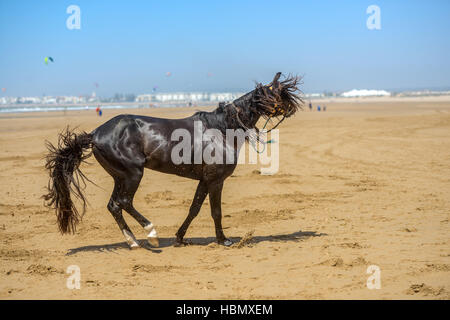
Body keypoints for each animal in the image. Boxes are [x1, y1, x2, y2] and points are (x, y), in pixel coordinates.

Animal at [43, 72, 302, 248]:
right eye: (278, 92)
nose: (292, 108)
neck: (221, 129)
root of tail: (95, 134)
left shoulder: (204, 180)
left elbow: (194, 209)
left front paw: (180, 237)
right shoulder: (215, 180)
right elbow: (215, 211)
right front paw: (223, 240)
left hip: (120, 177)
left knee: (114, 205)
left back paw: (133, 241)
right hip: (132, 174)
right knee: (124, 202)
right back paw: (151, 234)